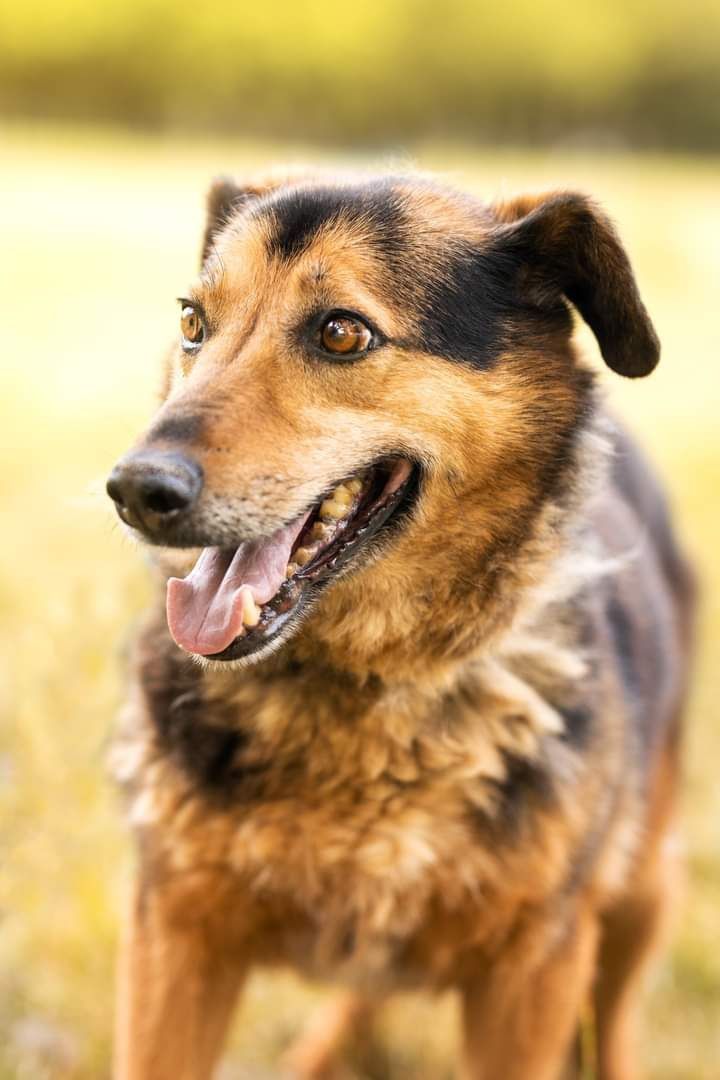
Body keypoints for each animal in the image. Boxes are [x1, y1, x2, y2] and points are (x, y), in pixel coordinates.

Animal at [105, 172, 690, 1075]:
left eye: (342, 332)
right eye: (193, 323)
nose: (136, 490)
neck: (363, 688)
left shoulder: (533, 975)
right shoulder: (173, 933)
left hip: (641, 895)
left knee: (615, 1022)